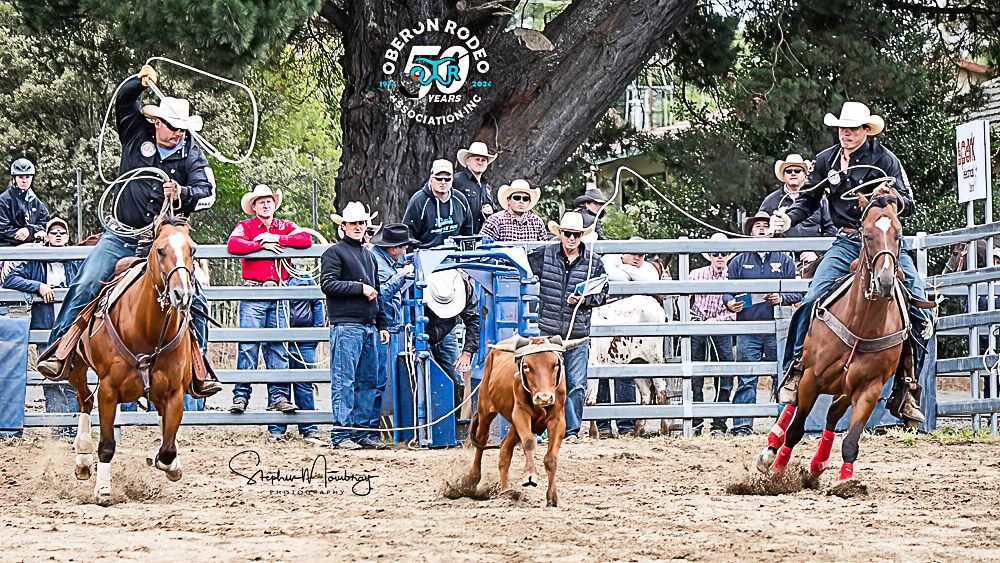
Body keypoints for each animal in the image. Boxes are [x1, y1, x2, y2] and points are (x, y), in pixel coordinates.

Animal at [67, 218, 198, 500]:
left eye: (192, 250)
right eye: (160, 250)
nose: (181, 295)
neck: (146, 328)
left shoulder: (174, 392)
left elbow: (167, 449)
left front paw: (171, 464)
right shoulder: (108, 390)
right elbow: (107, 444)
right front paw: (103, 490)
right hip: (77, 366)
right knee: (84, 399)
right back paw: (82, 458)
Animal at [756, 195, 916, 484]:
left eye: (898, 236)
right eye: (867, 235)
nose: (886, 281)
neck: (862, 324)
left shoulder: (869, 389)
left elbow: (850, 440)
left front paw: (846, 482)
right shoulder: (811, 379)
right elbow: (796, 430)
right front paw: (778, 471)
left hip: (844, 388)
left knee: (831, 416)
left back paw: (818, 464)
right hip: (807, 373)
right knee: (792, 403)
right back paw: (772, 446)